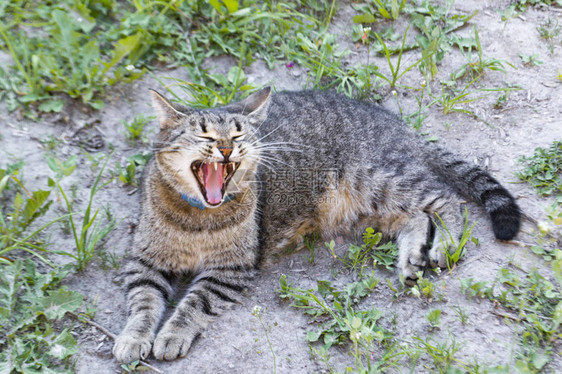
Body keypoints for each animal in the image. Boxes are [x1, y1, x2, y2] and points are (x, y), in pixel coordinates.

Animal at [111, 87, 520, 362]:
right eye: (204, 134)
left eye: (239, 134)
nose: (227, 148)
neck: (198, 217)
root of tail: (401, 126)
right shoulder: (144, 261)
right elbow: (143, 302)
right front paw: (133, 338)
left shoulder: (230, 268)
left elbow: (194, 302)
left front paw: (172, 334)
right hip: (369, 210)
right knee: (416, 217)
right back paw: (411, 259)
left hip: (379, 180)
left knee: (445, 200)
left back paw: (443, 245)